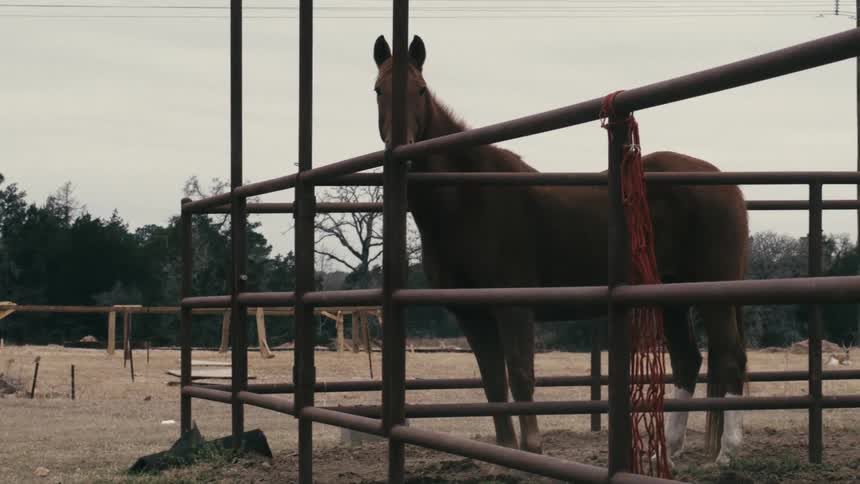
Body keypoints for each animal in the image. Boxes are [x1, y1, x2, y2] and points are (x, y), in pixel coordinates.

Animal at [371, 34, 750, 467]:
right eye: (378, 90)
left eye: (420, 90)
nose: (402, 149)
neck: (472, 195)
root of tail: (727, 184)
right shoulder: (472, 313)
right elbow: (492, 382)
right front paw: (503, 452)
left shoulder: (514, 305)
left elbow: (520, 375)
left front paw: (532, 450)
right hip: (671, 297)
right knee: (689, 361)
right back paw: (665, 452)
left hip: (713, 291)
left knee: (730, 358)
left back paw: (727, 453)